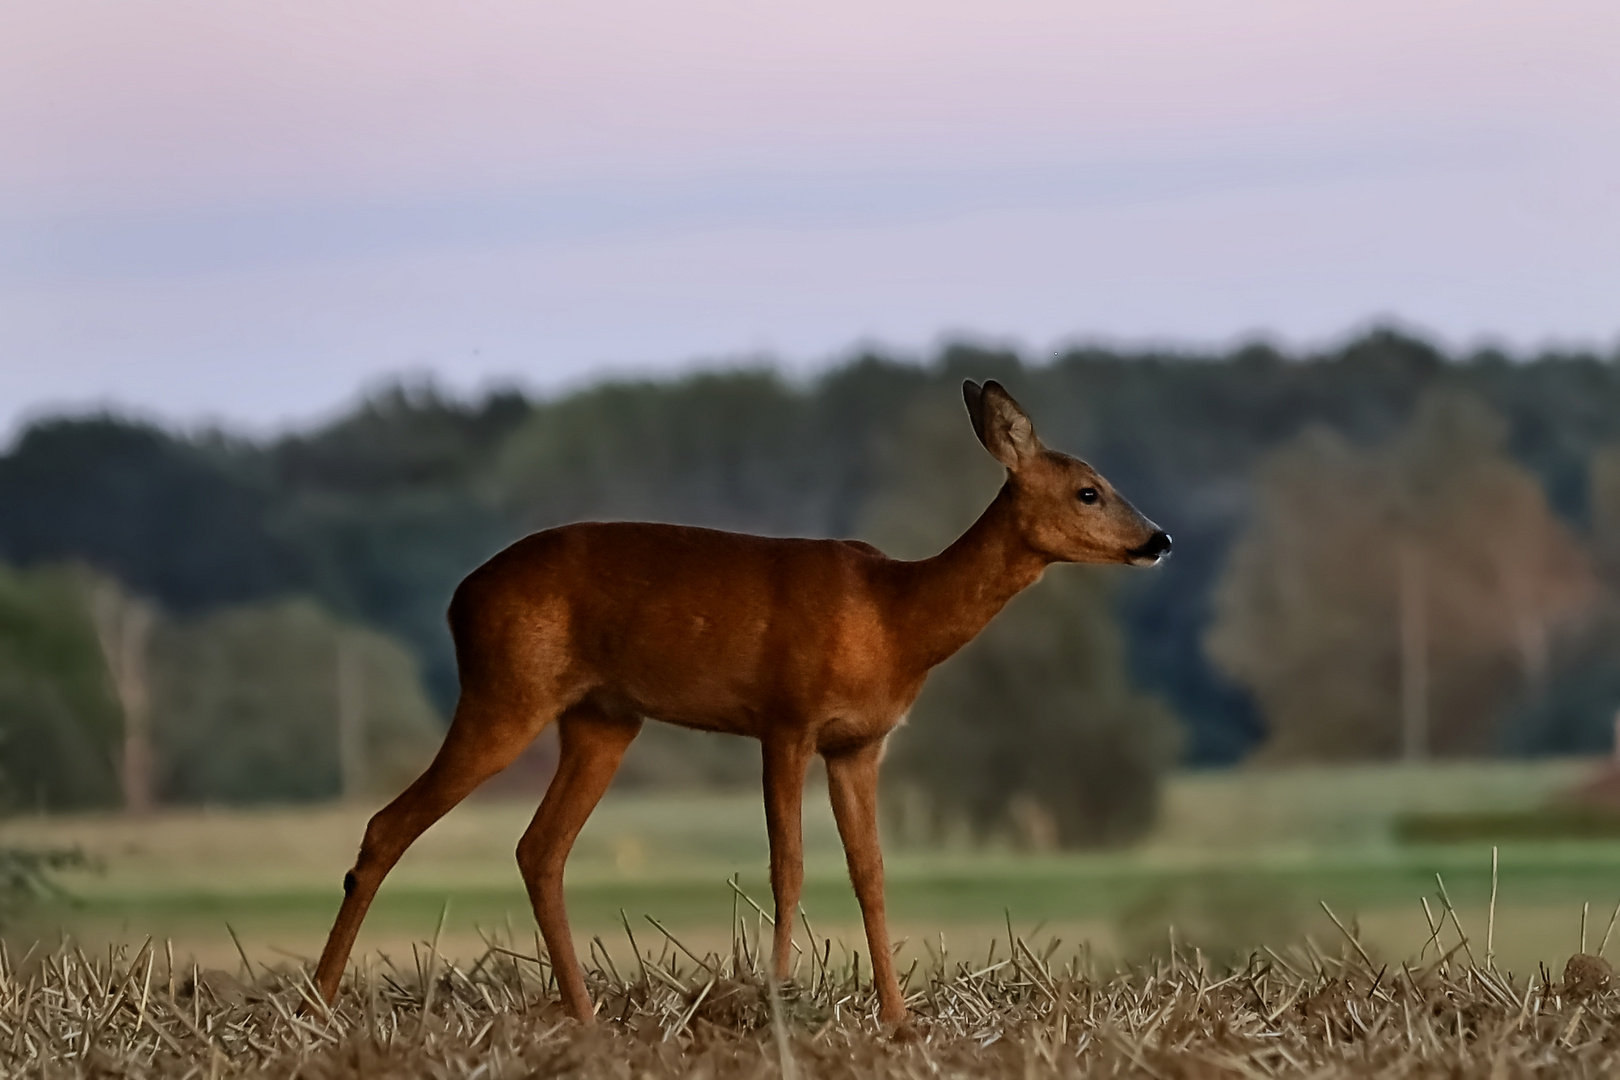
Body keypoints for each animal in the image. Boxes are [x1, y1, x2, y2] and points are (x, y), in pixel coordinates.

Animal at [306, 382, 1166, 1029]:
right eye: (1089, 490)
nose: (1158, 539)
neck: (894, 618)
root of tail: (459, 598)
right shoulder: (785, 719)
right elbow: (788, 866)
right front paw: (778, 1001)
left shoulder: (859, 744)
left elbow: (871, 872)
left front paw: (897, 1019)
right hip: (505, 693)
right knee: (389, 825)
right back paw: (318, 1003)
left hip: (602, 719)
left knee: (538, 849)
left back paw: (585, 1017)